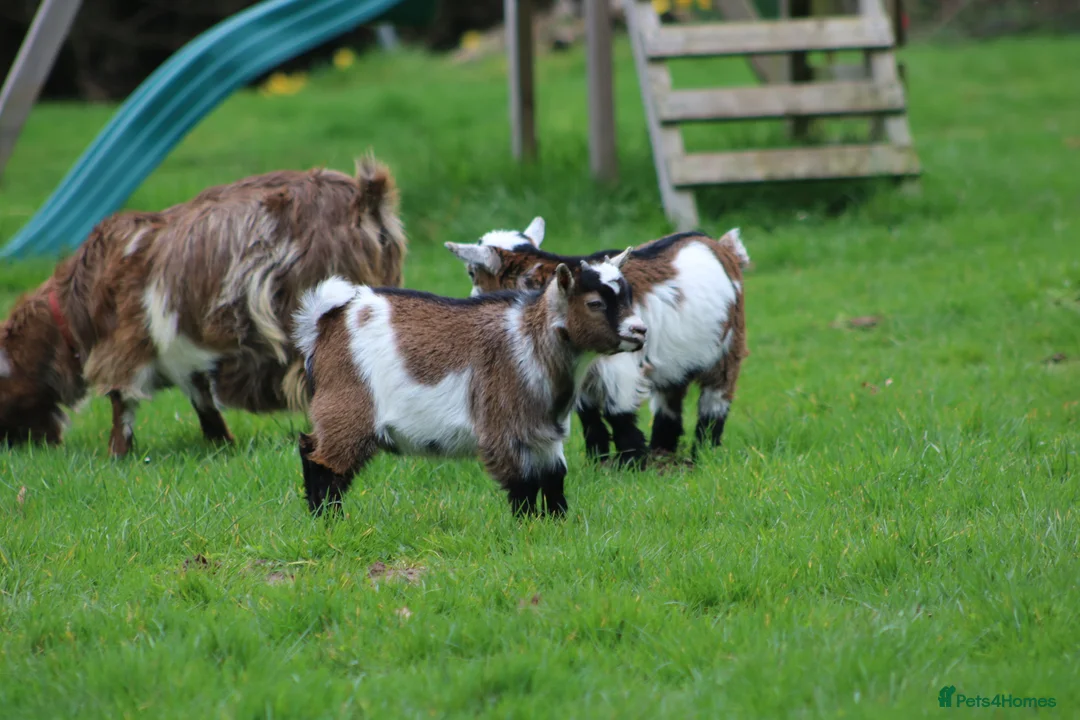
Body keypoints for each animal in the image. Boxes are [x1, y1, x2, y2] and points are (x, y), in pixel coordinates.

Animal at [0, 157, 406, 455]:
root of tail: (365, 199)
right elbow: (203, 401)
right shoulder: (185, 356)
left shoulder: (126, 347)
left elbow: (122, 403)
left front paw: (116, 455)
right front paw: (221, 444)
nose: (14, 445)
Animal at [292, 250, 646, 517]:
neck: (531, 339)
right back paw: (328, 518)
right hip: (348, 406)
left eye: (628, 296)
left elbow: (553, 477)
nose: (640, 331)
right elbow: (523, 483)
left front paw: (556, 523)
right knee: (323, 460)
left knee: (310, 447)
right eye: (595, 303)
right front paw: (528, 526)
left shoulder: (543, 429)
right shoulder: (503, 426)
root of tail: (327, 320)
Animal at [445, 217, 748, 464]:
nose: (471, 303)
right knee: (669, 398)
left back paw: (704, 452)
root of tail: (719, 245)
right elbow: (588, 415)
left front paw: (632, 465)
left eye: (471, 272)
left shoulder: (620, 367)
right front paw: (598, 461)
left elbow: (619, 414)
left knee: (716, 398)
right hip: (675, 359)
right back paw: (663, 451)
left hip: (729, 345)